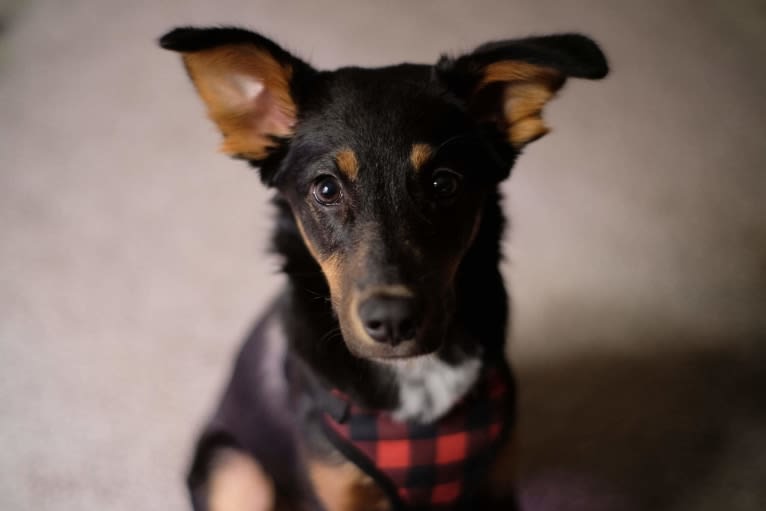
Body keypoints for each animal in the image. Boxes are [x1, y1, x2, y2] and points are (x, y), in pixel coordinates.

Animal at [159, 28, 608, 511]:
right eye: (326, 189)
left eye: (444, 183)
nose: (392, 322)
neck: (416, 378)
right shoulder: (338, 493)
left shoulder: (498, 484)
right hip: (238, 473)